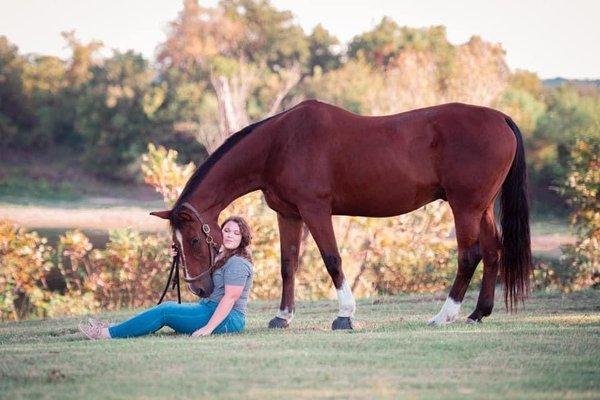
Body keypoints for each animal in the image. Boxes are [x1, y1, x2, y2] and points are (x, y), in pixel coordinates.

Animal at [149, 98, 528, 330]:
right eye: (176, 245)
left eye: (194, 239)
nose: (200, 290)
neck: (280, 144)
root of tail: (500, 118)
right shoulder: (289, 215)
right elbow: (289, 265)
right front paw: (282, 317)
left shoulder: (315, 210)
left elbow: (332, 259)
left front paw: (345, 315)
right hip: (481, 207)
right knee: (492, 251)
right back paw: (478, 313)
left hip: (464, 206)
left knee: (469, 255)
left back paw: (444, 315)